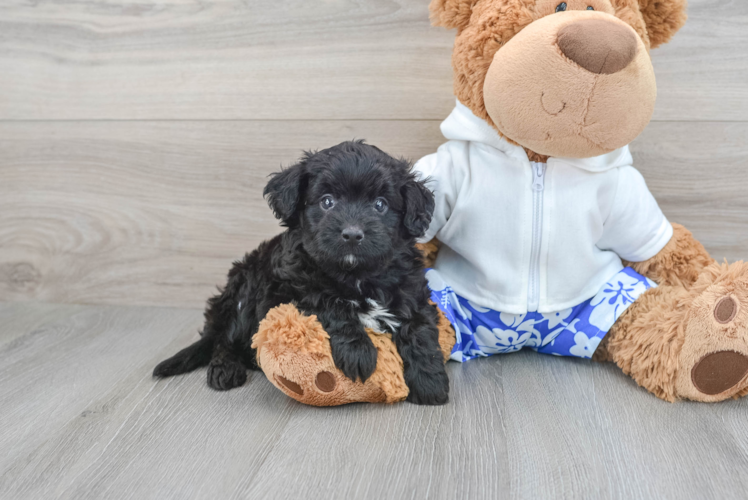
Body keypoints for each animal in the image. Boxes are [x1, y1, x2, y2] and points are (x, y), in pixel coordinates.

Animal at [153, 141, 450, 406]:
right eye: (327, 202)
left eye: (380, 205)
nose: (352, 234)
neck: (355, 273)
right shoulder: (293, 288)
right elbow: (332, 304)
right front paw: (358, 352)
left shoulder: (412, 291)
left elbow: (420, 330)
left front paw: (430, 382)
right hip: (246, 290)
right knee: (225, 338)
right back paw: (225, 368)